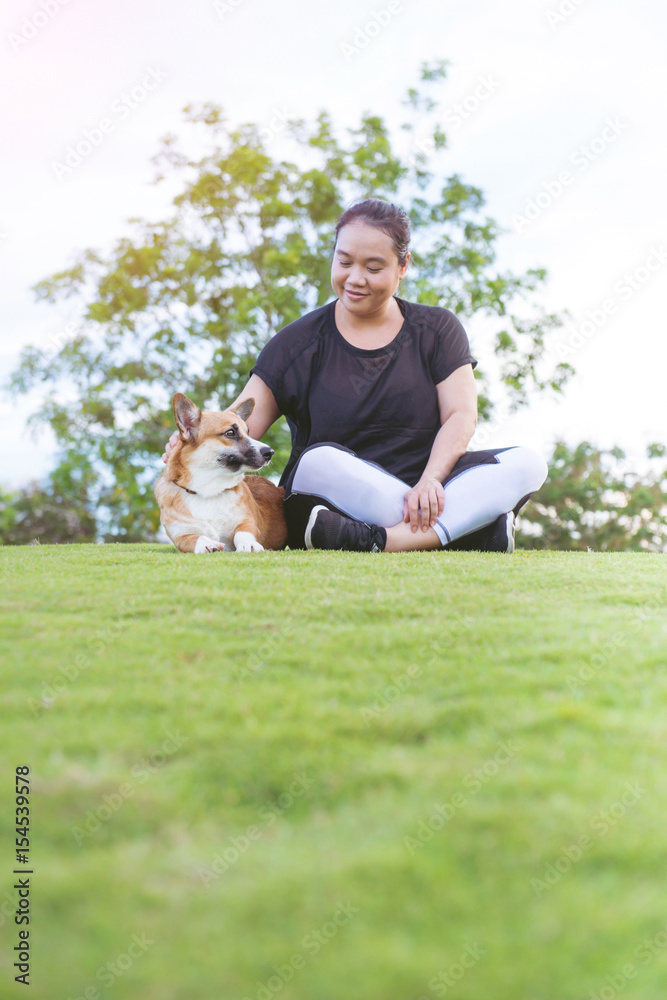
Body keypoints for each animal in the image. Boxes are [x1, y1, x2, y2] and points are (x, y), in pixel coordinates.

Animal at [155, 394, 288, 556]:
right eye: (230, 432)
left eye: (248, 432)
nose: (270, 452)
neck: (208, 491)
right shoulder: (180, 536)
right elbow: (195, 538)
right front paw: (207, 544)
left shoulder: (246, 521)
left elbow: (243, 533)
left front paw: (248, 544)